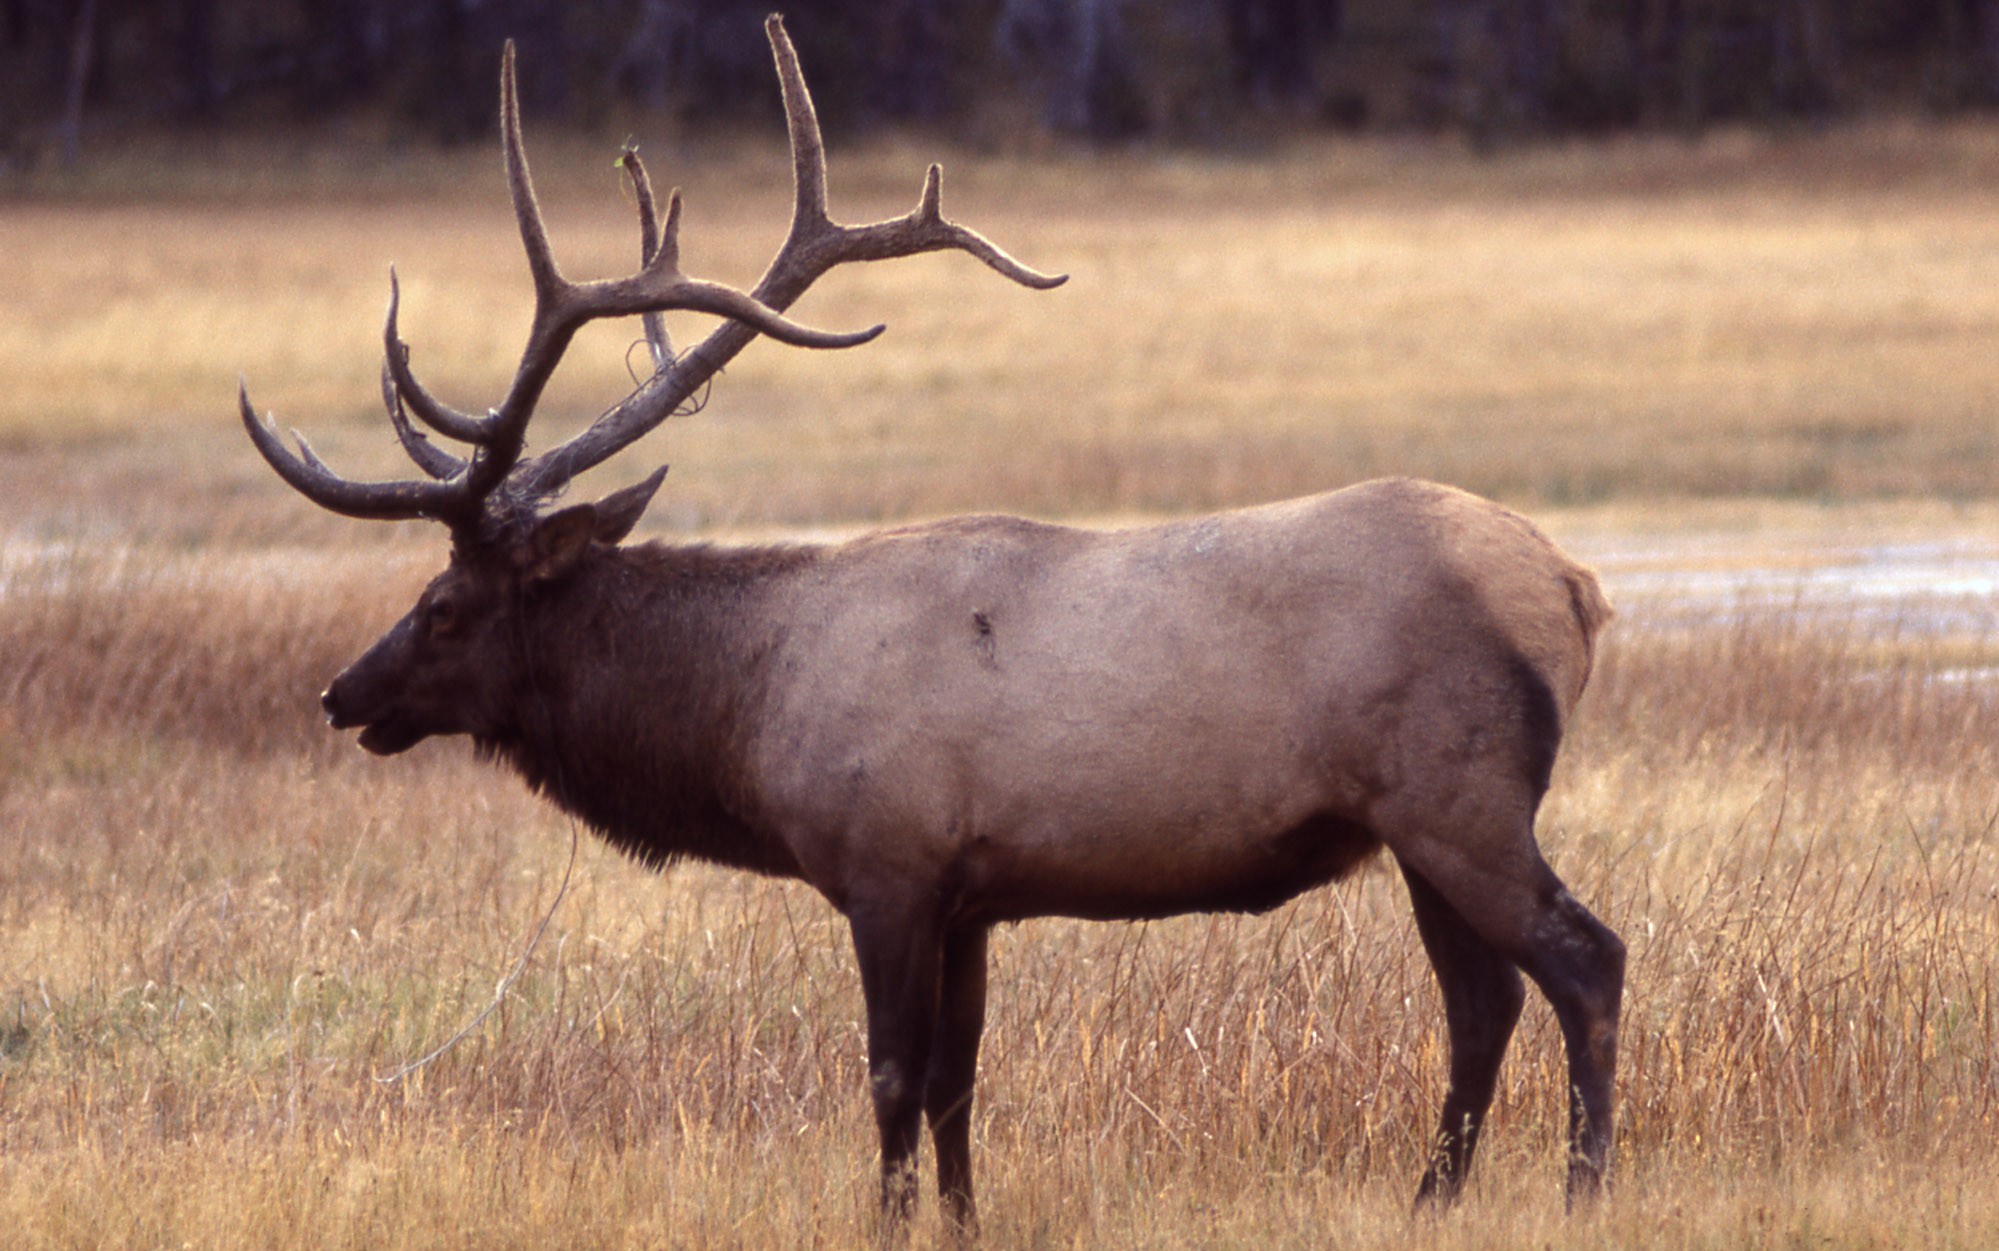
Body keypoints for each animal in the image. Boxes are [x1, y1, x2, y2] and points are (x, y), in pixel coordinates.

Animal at [237, 14, 1623, 1231]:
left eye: (444, 605)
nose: (341, 693)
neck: (745, 716)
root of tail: (1573, 588)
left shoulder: (886, 864)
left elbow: (892, 1078)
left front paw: (891, 1221)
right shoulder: (973, 896)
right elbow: (960, 1082)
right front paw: (960, 1219)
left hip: (1460, 797)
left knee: (1582, 962)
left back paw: (1583, 1189)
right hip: (1415, 825)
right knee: (1481, 1003)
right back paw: (1432, 1198)